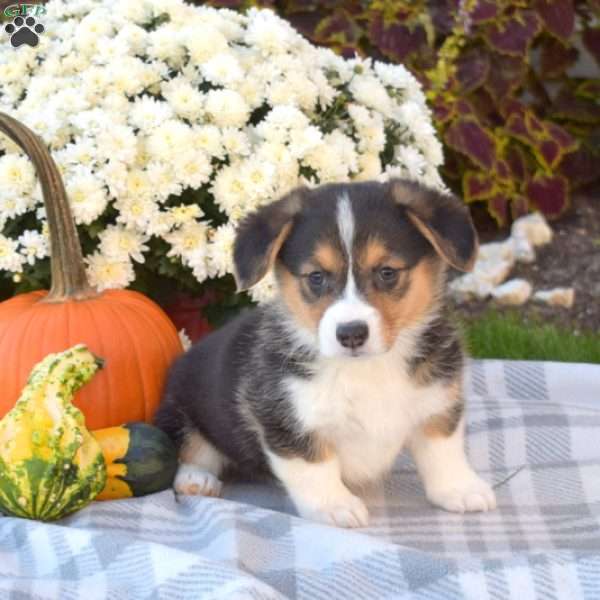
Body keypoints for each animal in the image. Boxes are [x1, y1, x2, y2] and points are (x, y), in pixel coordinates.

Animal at [156, 178, 496, 524]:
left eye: (387, 272)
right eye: (316, 277)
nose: (351, 334)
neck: (368, 369)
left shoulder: (438, 402)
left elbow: (443, 449)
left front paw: (460, 489)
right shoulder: (287, 420)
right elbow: (315, 467)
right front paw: (337, 506)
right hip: (181, 409)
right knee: (190, 447)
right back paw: (197, 478)